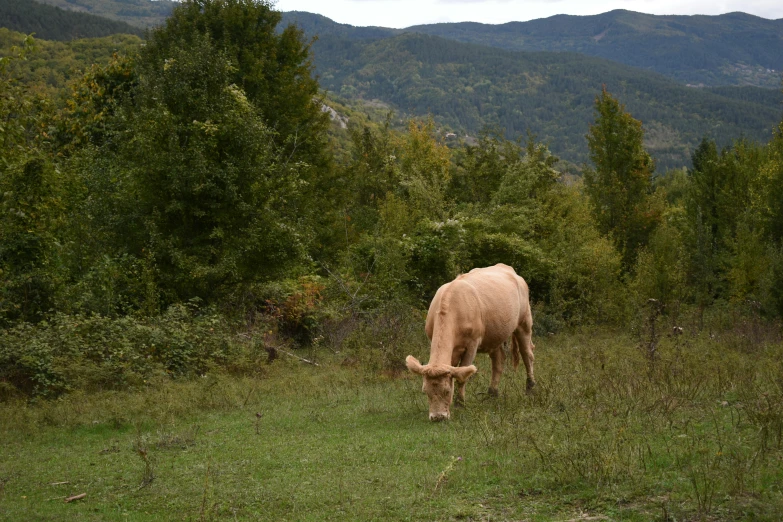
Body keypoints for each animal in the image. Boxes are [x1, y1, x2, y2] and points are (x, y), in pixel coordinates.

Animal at [408, 264, 536, 418]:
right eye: (425, 391)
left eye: (447, 391)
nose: (438, 417)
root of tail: (505, 267)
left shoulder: (472, 344)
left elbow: (462, 376)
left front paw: (459, 403)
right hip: (496, 334)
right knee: (498, 361)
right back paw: (492, 393)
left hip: (524, 322)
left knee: (527, 355)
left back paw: (530, 388)